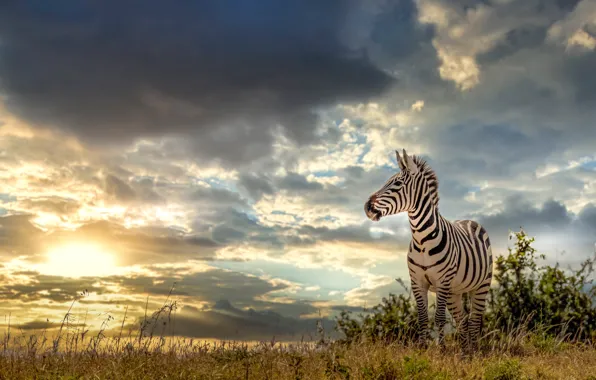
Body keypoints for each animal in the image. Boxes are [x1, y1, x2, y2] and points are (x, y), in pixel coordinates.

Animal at [364, 149, 494, 354]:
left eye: (397, 184)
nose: (367, 207)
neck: (422, 239)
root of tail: (469, 221)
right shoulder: (418, 282)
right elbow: (423, 318)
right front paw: (421, 349)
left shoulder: (442, 282)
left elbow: (439, 318)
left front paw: (441, 351)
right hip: (454, 292)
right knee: (463, 321)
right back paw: (465, 353)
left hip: (481, 285)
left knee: (474, 321)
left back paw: (475, 351)